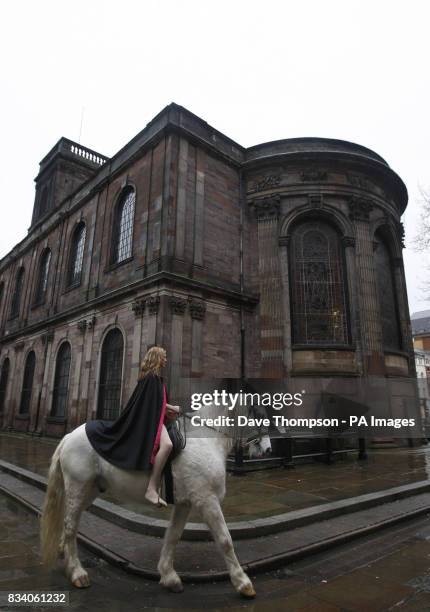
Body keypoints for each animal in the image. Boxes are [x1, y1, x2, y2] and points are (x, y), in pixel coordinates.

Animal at [39, 406, 255, 596]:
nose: (261, 447)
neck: (205, 438)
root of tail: (68, 436)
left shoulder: (185, 503)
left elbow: (173, 535)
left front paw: (169, 576)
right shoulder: (206, 499)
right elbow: (225, 539)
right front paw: (243, 583)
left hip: (89, 490)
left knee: (69, 521)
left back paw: (64, 552)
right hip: (78, 485)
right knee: (70, 525)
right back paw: (77, 572)